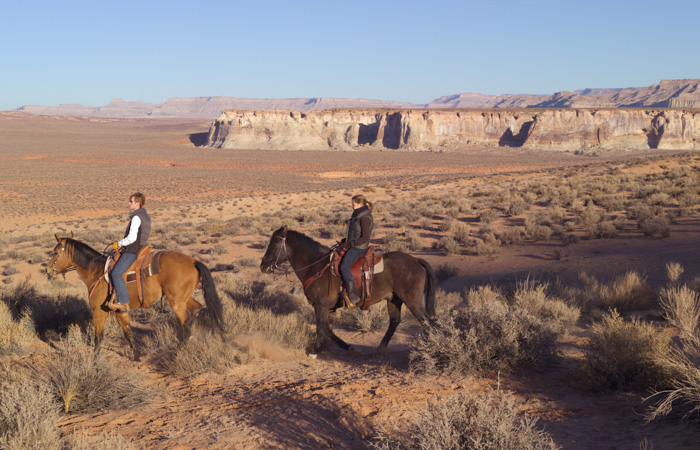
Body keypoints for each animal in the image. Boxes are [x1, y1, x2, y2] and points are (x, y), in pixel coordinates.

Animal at [47, 234, 224, 360]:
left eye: (55, 252)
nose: (48, 271)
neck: (96, 272)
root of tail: (193, 261)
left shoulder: (99, 312)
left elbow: (98, 337)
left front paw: (95, 360)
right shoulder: (120, 311)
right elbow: (128, 333)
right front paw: (137, 356)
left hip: (177, 302)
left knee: (186, 323)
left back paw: (177, 352)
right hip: (184, 299)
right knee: (196, 310)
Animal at [262, 227, 438, 356]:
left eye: (274, 245)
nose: (263, 266)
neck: (316, 266)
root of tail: (416, 260)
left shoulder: (320, 306)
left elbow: (321, 327)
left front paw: (316, 350)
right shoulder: (330, 308)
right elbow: (327, 328)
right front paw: (341, 347)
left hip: (412, 301)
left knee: (427, 321)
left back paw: (430, 345)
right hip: (394, 300)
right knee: (395, 322)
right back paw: (380, 349)